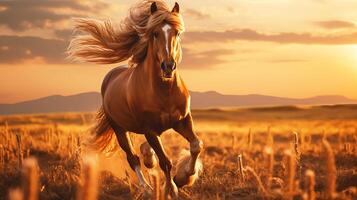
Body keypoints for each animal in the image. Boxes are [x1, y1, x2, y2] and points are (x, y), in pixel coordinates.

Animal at [66, 0, 200, 197]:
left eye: (177, 32)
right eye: (155, 33)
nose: (168, 66)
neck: (164, 90)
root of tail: (111, 76)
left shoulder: (182, 121)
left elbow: (196, 145)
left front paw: (184, 177)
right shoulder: (150, 130)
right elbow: (166, 162)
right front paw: (171, 190)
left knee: (145, 150)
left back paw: (149, 160)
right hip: (119, 129)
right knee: (133, 158)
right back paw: (147, 188)